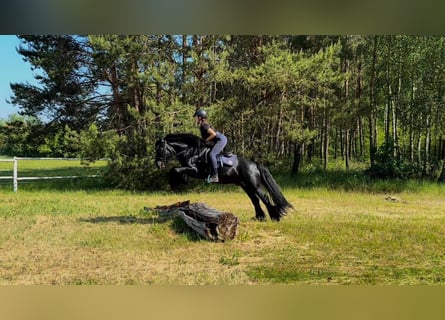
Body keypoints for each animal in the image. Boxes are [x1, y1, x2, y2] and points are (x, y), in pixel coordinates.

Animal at [154, 132, 294, 220]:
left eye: (160, 149)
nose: (158, 164)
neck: (192, 151)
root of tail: (254, 164)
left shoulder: (194, 170)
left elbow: (175, 169)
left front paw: (175, 183)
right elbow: (177, 170)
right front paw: (181, 181)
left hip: (254, 184)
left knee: (264, 197)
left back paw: (275, 217)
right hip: (245, 185)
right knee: (255, 199)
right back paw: (260, 217)